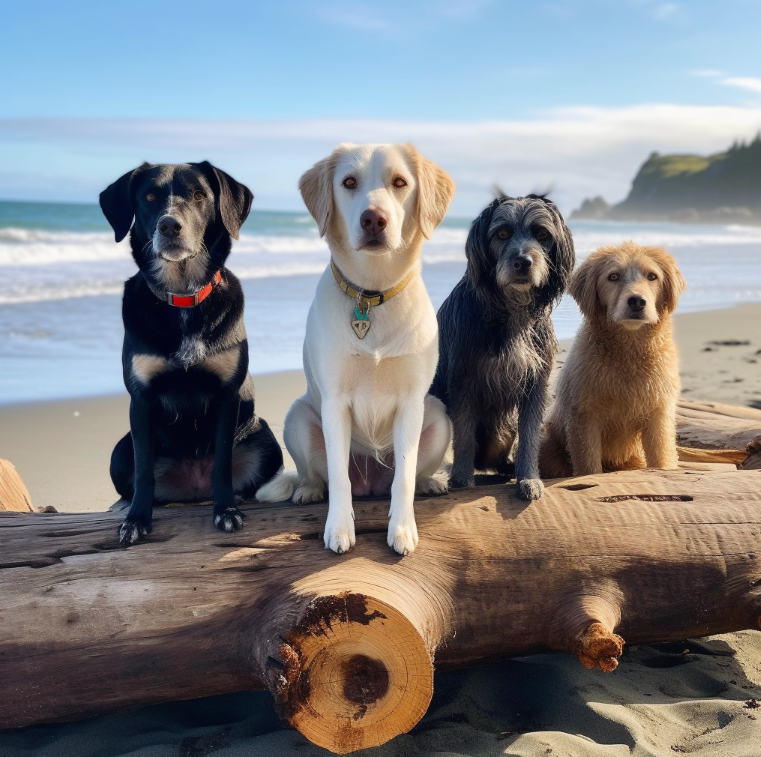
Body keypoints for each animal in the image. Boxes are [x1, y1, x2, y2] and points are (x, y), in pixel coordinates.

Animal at [98, 162, 282, 548]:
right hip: (120, 451)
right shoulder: (141, 400)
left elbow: (223, 463)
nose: (170, 226)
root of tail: (191, 487)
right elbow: (144, 472)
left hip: (265, 438)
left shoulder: (227, 396)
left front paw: (226, 510)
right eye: (149, 196)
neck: (183, 295)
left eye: (199, 195)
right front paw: (136, 519)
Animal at [255, 143, 458, 556]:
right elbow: (338, 477)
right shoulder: (334, 402)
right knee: (320, 475)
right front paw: (339, 528)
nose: (373, 219)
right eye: (349, 183)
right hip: (298, 418)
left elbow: (404, 478)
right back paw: (309, 490)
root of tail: (371, 481)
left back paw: (429, 482)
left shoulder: (412, 402)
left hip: (439, 417)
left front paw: (402, 528)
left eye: (400, 182)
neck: (372, 293)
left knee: (410, 473)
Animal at [430, 195, 572, 500]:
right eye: (502, 234)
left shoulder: (536, 383)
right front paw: (461, 477)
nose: (522, 262)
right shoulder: (463, 378)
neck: (511, 306)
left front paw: (529, 478)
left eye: (542, 234)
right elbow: (464, 431)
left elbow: (529, 435)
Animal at [544, 239, 684, 476]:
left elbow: (661, 457)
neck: (628, 354)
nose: (636, 301)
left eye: (652, 276)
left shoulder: (658, 414)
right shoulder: (584, 416)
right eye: (613, 277)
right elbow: (588, 464)